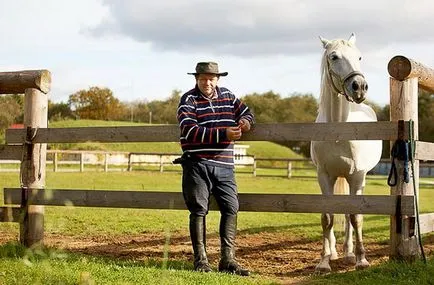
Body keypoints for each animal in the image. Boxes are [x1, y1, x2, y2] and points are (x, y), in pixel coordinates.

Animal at [310, 33, 382, 270]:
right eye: (334, 57)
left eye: (359, 56)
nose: (359, 86)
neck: (337, 131)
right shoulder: (324, 176)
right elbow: (327, 217)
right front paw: (324, 261)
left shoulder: (356, 176)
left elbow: (355, 217)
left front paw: (361, 259)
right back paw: (334, 252)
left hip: (358, 179)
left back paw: (350, 253)